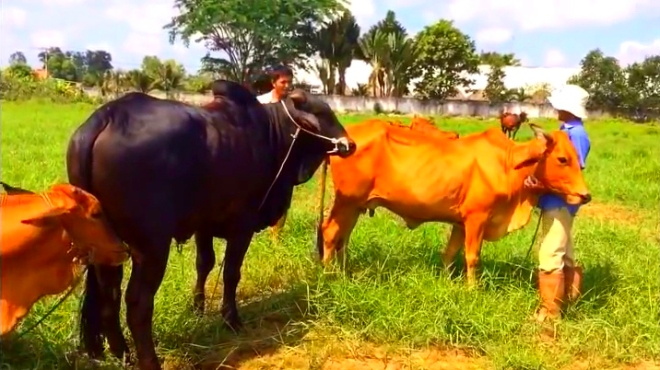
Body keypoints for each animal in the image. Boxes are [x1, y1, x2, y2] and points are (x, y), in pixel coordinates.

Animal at [66, 81, 356, 370]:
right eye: (322, 113)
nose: (350, 144)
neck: (271, 133)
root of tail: (106, 117)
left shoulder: (202, 225)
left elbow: (204, 264)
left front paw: (198, 308)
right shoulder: (243, 225)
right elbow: (231, 273)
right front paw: (231, 319)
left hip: (107, 249)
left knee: (109, 294)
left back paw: (121, 353)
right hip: (151, 248)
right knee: (137, 303)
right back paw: (149, 360)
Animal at [318, 123, 592, 284]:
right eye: (562, 159)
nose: (585, 195)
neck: (508, 163)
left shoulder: (460, 223)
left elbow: (450, 253)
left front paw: (447, 282)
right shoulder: (476, 218)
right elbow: (472, 257)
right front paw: (473, 290)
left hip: (356, 206)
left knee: (342, 237)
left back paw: (343, 272)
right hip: (346, 201)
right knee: (330, 233)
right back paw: (328, 275)